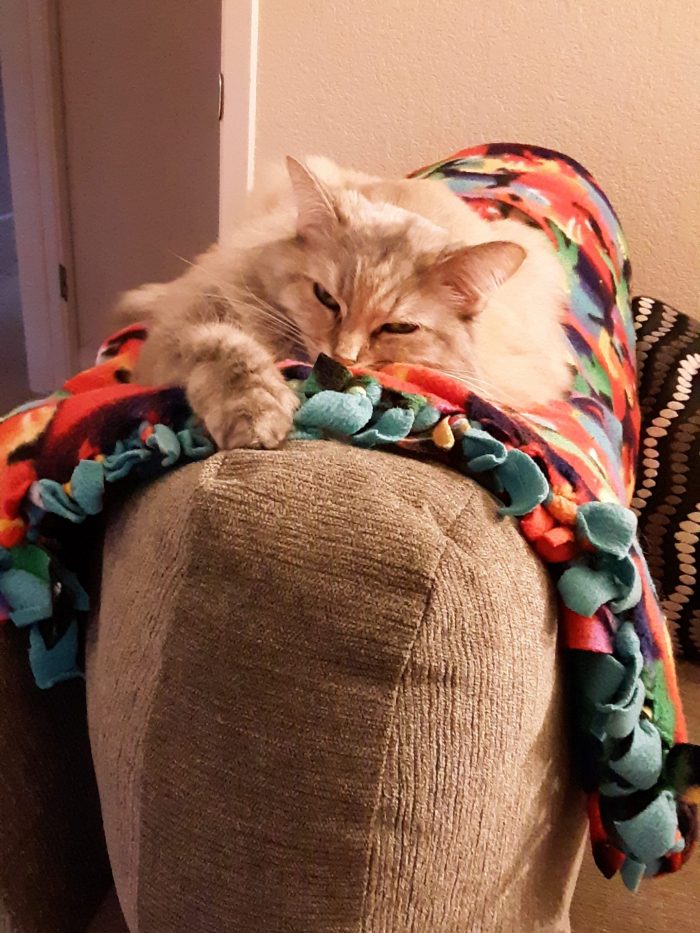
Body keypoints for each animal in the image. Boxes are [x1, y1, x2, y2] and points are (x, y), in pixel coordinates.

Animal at [116, 156, 576, 448]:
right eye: (326, 298)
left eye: (399, 327)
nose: (342, 358)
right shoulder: (183, 327)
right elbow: (225, 348)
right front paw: (255, 408)